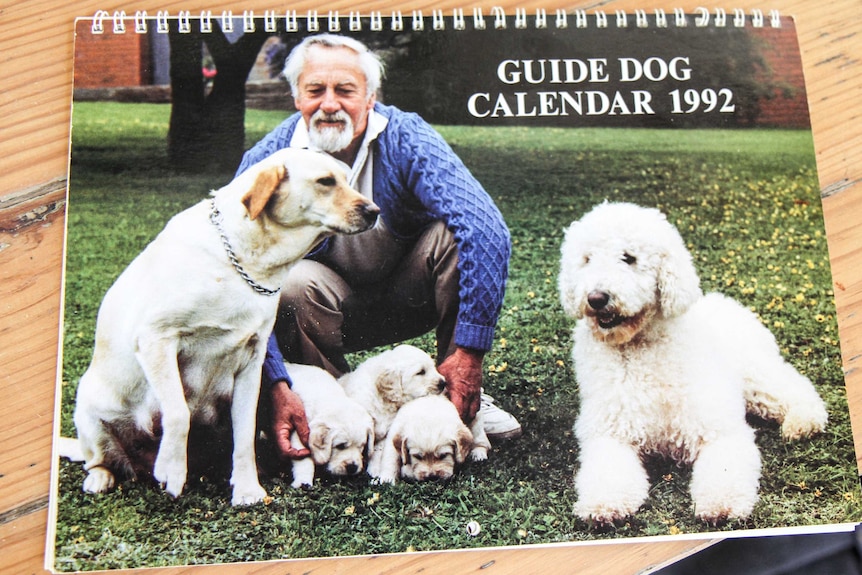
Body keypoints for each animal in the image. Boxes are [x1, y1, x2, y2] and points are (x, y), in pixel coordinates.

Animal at [72, 147, 384, 504]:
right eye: (325, 181)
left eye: (346, 178)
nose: (375, 211)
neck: (247, 264)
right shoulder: (156, 340)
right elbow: (178, 412)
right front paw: (172, 469)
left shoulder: (251, 359)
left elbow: (245, 432)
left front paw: (247, 488)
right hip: (89, 409)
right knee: (97, 458)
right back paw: (102, 477)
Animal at [560, 202, 832, 528]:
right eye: (587, 259)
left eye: (629, 257)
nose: (596, 298)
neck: (641, 349)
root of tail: (727, 302)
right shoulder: (610, 432)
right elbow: (608, 470)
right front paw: (604, 504)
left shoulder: (718, 429)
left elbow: (724, 467)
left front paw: (721, 504)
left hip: (755, 377)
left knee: (794, 388)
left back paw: (804, 421)